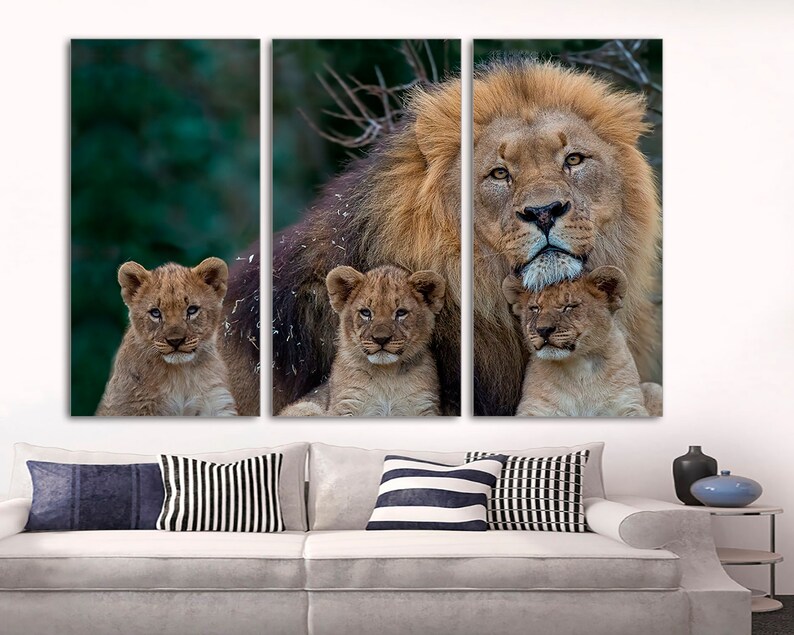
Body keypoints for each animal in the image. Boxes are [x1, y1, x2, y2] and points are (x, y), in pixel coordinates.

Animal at [279, 265, 445, 417]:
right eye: (365, 312)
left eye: (401, 313)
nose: (381, 339)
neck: (387, 374)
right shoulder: (346, 404)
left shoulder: (424, 405)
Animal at [503, 266, 662, 417]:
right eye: (535, 309)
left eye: (569, 307)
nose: (543, 330)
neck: (579, 368)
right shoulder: (535, 408)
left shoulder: (628, 404)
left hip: (653, 387)